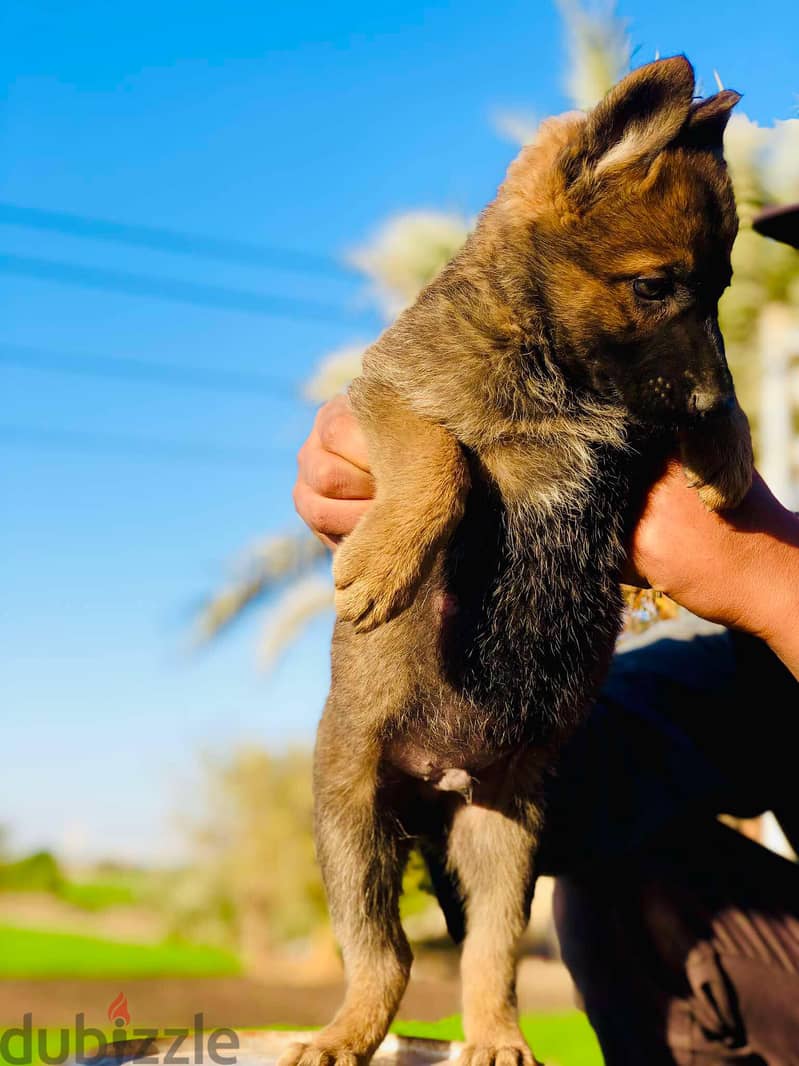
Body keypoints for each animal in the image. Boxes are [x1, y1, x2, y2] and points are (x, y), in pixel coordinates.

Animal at [283, 54, 758, 1066]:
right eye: (654, 286)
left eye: (718, 290)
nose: (700, 402)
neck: (560, 366)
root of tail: (437, 781)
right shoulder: (384, 398)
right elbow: (442, 458)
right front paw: (388, 556)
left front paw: (729, 450)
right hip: (352, 813)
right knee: (382, 957)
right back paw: (345, 1031)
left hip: (503, 840)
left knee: (486, 960)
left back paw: (498, 1036)